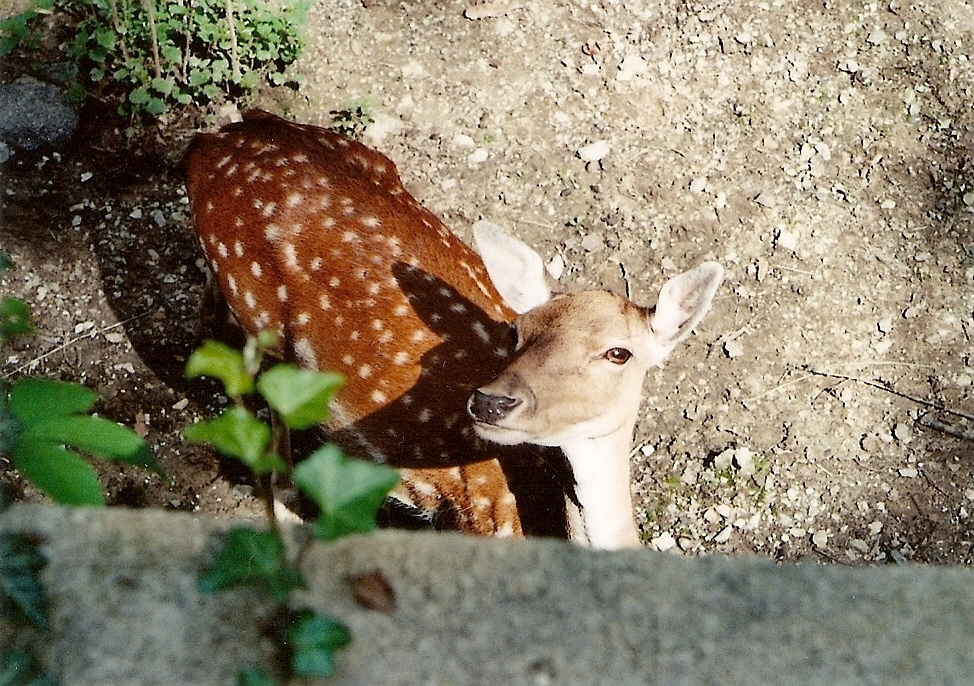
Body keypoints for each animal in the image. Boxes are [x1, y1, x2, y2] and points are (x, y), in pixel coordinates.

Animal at [183, 110, 720, 552]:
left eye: (618, 353)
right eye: (519, 334)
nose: (490, 402)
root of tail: (211, 139)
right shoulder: (477, 518)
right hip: (254, 306)